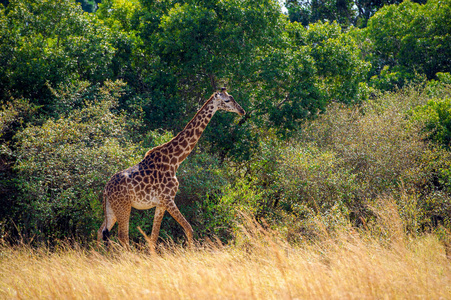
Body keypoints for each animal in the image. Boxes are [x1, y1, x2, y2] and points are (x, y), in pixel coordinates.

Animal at [96, 87, 245, 251]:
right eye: (227, 100)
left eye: (232, 97)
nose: (242, 111)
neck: (175, 160)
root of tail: (106, 189)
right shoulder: (168, 199)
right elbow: (188, 228)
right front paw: (191, 253)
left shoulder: (161, 203)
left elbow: (153, 237)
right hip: (123, 206)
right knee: (122, 236)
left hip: (112, 208)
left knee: (101, 231)